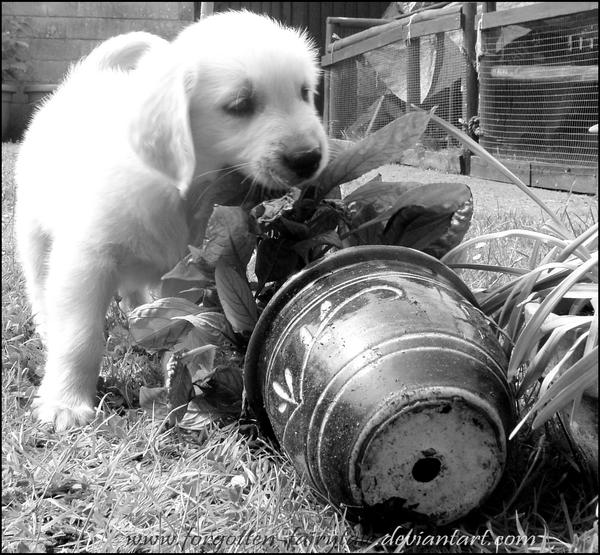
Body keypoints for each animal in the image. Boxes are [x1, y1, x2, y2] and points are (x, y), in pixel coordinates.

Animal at [16, 10, 328, 432]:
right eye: (240, 104)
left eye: (304, 93)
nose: (310, 158)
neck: (177, 189)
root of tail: (83, 80)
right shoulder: (85, 259)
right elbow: (79, 336)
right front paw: (65, 403)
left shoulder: (188, 269)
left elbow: (180, 323)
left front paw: (176, 377)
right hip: (32, 230)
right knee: (38, 284)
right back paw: (47, 326)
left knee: (135, 292)